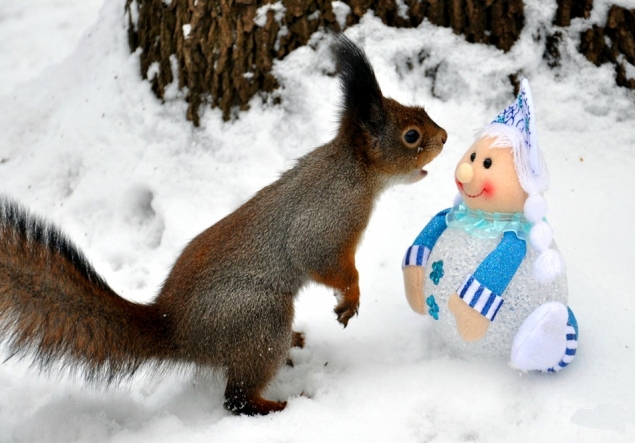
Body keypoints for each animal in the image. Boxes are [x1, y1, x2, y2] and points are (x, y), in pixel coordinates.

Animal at [0, 35, 446, 415]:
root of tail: (175, 330)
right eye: (411, 136)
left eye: (421, 111)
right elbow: (323, 260)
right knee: (236, 397)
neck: (355, 172)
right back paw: (274, 405)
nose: (444, 137)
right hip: (258, 316)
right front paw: (351, 297)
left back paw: (293, 345)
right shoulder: (327, 220)